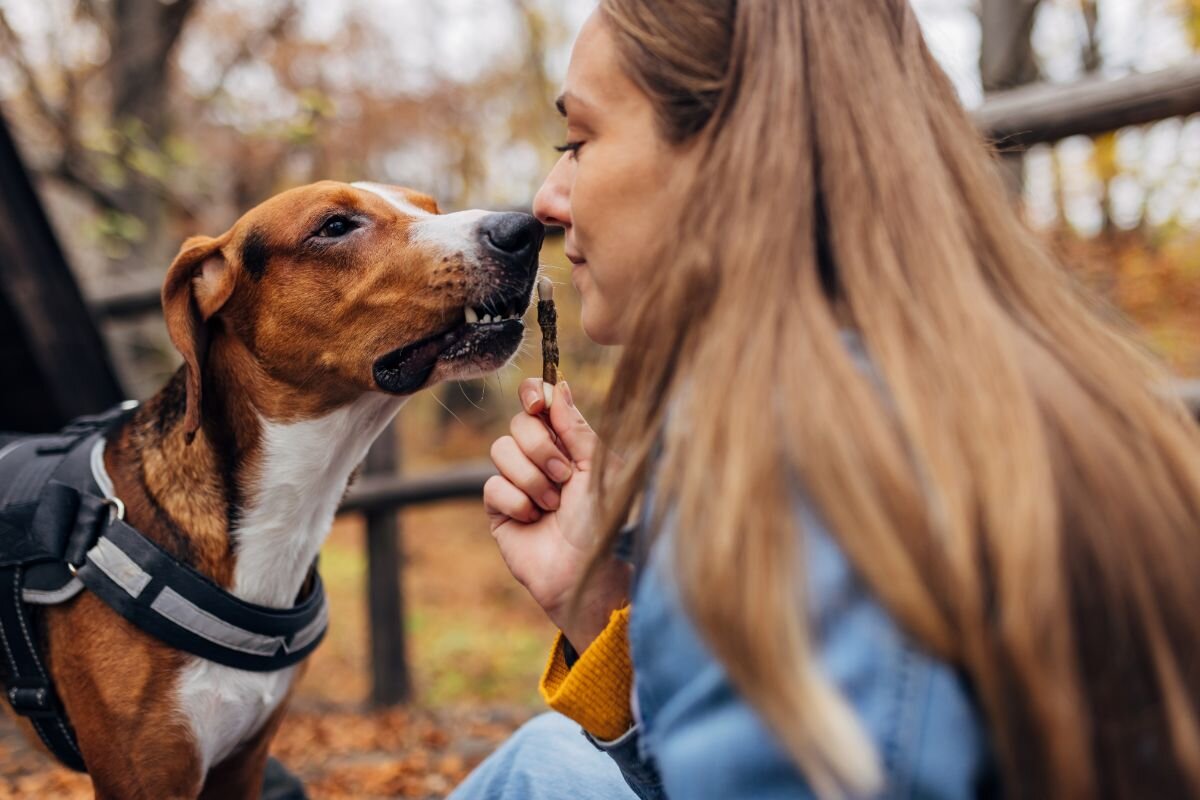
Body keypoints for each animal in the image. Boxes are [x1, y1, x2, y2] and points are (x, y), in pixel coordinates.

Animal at [3, 183, 544, 800]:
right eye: (335, 226)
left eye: (429, 208)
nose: (525, 230)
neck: (283, 519)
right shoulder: (145, 777)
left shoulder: (243, 765)